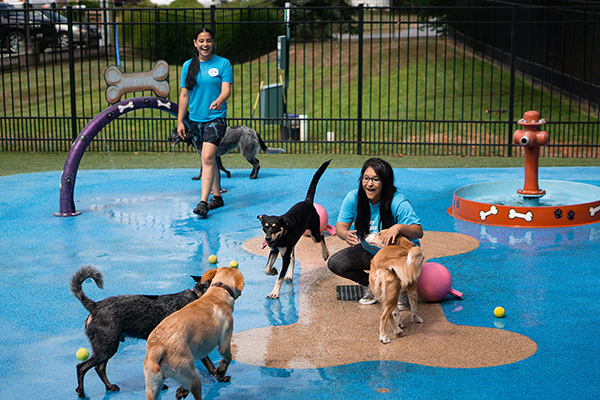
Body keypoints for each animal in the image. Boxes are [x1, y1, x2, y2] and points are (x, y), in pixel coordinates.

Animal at [70, 264, 216, 398]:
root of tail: (95, 306)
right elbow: (207, 363)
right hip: (106, 347)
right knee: (81, 367)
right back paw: (81, 392)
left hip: (105, 347)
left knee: (99, 368)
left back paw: (109, 387)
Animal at [144, 266, 245, 400]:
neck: (218, 291)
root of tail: (158, 346)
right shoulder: (225, 341)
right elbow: (228, 358)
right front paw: (220, 371)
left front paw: (182, 390)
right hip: (194, 379)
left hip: (154, 387)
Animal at [258, 161, 332, 298]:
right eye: (265, 227)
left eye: (275, 227)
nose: (267, 238)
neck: (281, 236)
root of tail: (308, 202)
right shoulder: (274, 250)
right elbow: (266, 269)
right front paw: (273, 271)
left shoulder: (285, 256)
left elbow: (280, 278)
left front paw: (274, 292)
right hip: (294, 244)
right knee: (294, 258)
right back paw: (290, 275)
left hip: (314, 234)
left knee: (322, 237)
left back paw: (325, 254)